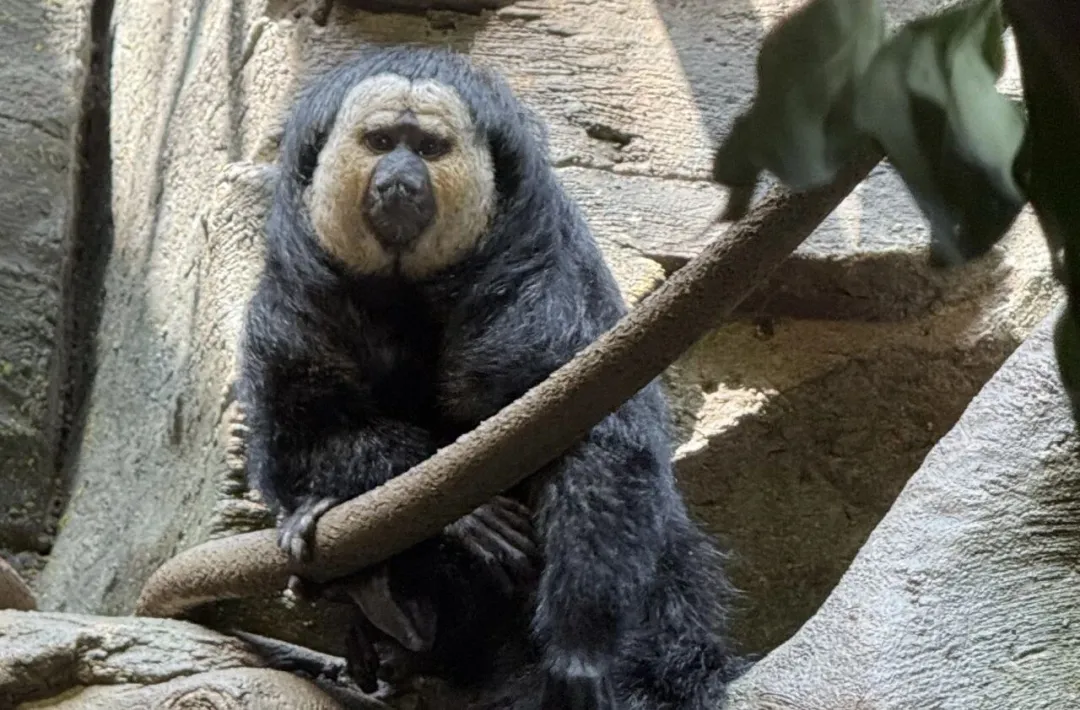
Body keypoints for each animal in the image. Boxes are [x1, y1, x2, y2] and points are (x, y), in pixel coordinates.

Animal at [235, 45, 744, 710]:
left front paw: (579, 650)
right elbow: (306, 438)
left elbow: (588, 432)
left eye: (428, 148)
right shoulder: (293, 299)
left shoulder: (544, 287)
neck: (407, 291)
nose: (399, 175)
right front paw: (464, 518)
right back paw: (378, 599)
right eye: (380, 141)